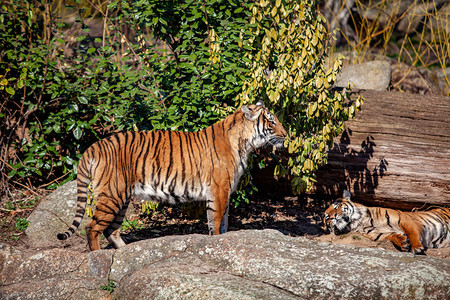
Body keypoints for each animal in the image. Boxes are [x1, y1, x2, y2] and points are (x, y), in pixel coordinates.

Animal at [58, 101, 286, 251]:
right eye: (271, 122)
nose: (286, 135)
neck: (243, 142)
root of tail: (95, 146)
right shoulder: (219, 190)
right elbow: (216, 221)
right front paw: (216, 242)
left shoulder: (225, 192)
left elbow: (223, 223)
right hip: (111, 195)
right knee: (92, 228)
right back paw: (99, 257)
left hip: (121, 198)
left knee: (111, 231)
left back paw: (125, 254)